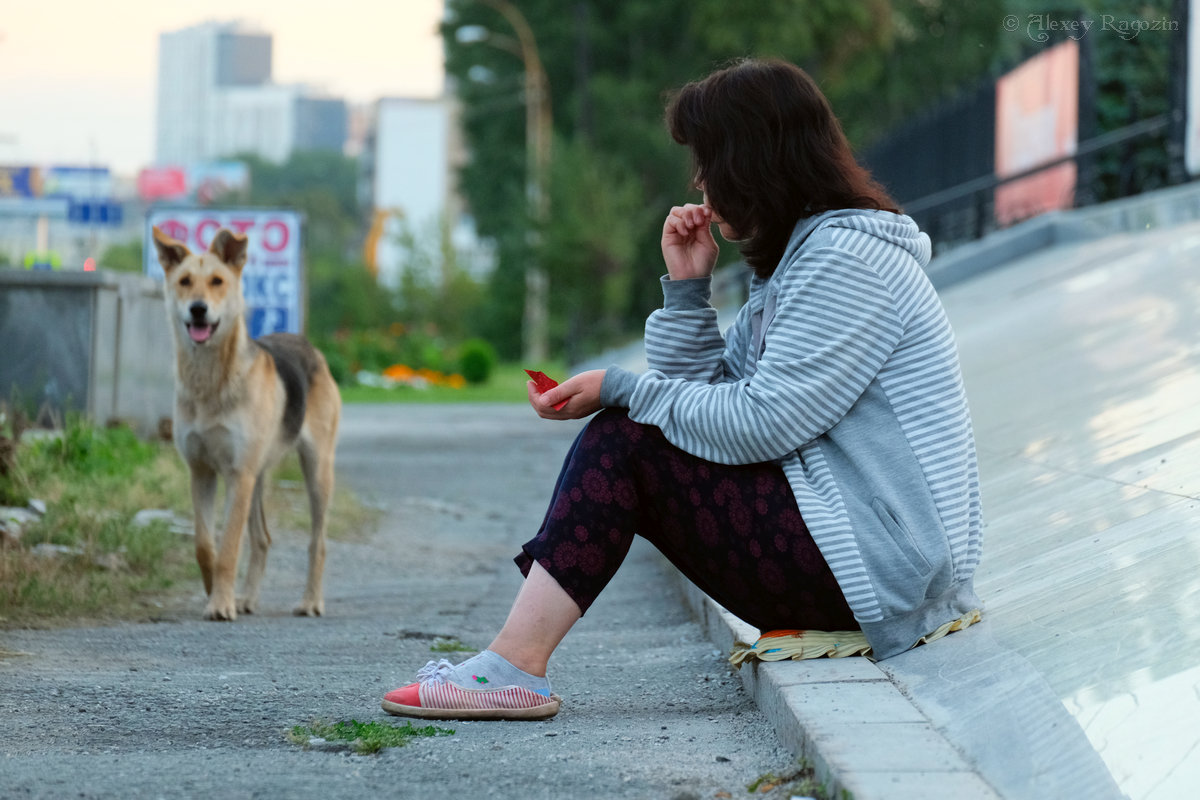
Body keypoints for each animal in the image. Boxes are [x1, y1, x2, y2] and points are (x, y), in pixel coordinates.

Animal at [154, 225, 340, 618]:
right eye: (185, 281)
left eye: (217, 282)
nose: (198, 309)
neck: (211, 383)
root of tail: (309, 346)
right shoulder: (202, 472)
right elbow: (205, 546)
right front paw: (216, 593)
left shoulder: (238, 474)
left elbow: (228, 548)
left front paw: (221, 604)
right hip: (258, 478)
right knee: (262, 538)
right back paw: (248, 599)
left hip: (315, 471)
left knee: (317, 541)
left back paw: (310, 601)